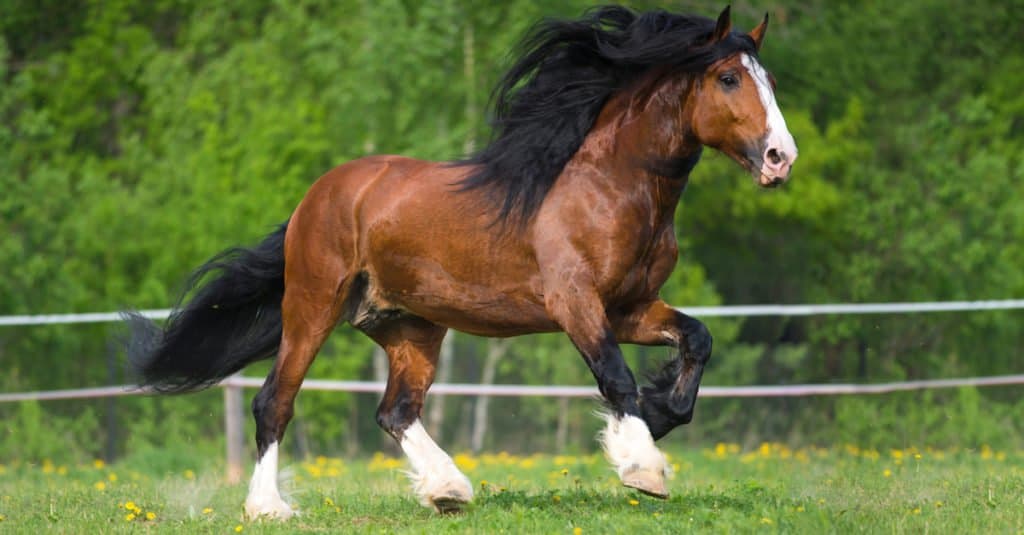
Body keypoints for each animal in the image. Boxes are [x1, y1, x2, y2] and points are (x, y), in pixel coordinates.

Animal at [125, 5, 797, 518]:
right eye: (729, 78)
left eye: (768, 78)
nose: (780, 158)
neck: (609, 185)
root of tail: (316, 197)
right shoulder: (575, 303)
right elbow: (615, 376)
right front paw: (642, 466)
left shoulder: (629, 307)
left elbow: (697, 341)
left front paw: (655, 419)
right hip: (312, 306)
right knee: (276, 402)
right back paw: (269, 507)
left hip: (411, 325)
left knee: (396, 410)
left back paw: (447, 490)